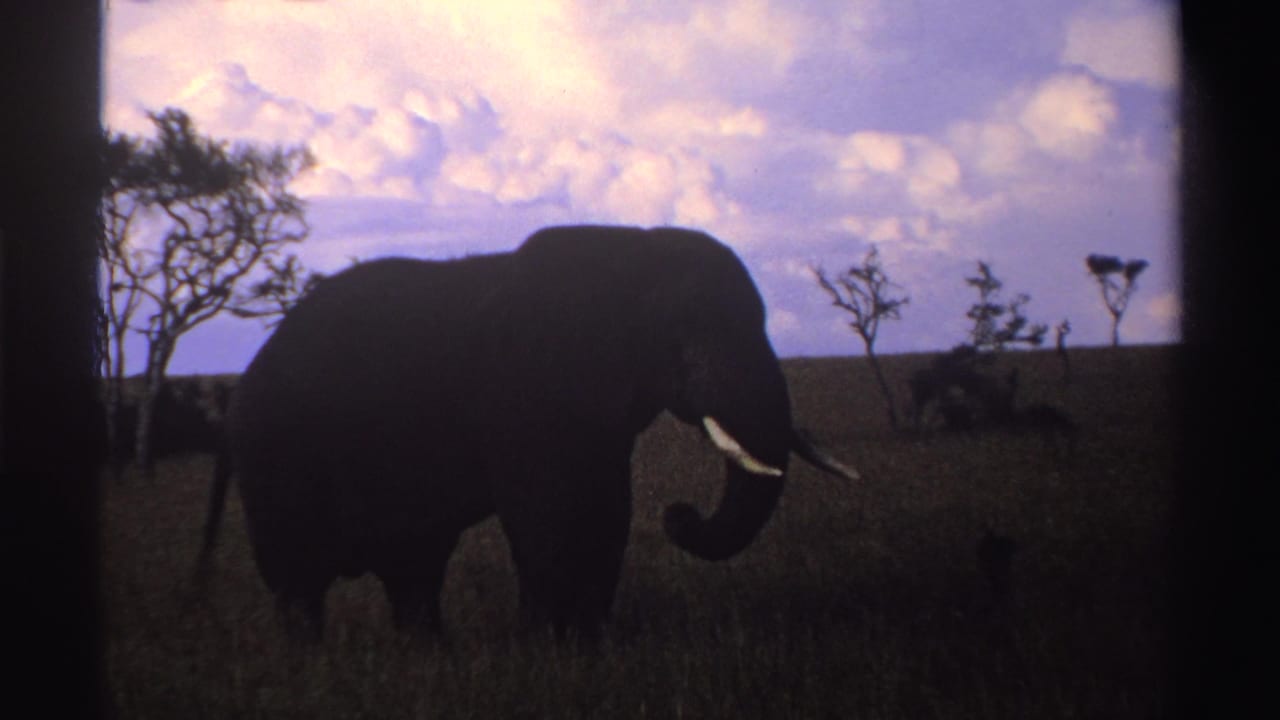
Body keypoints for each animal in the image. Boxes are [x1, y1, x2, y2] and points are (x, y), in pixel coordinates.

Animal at [200, 225, 858, 640]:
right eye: (688, 334)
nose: (680, 514)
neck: (633, 253)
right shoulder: (526, 393)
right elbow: (549, 516)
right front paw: (547, 647)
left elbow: (606, 513)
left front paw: (588, 644)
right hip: (276, 458)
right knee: (299, 581)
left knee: (414, 570)